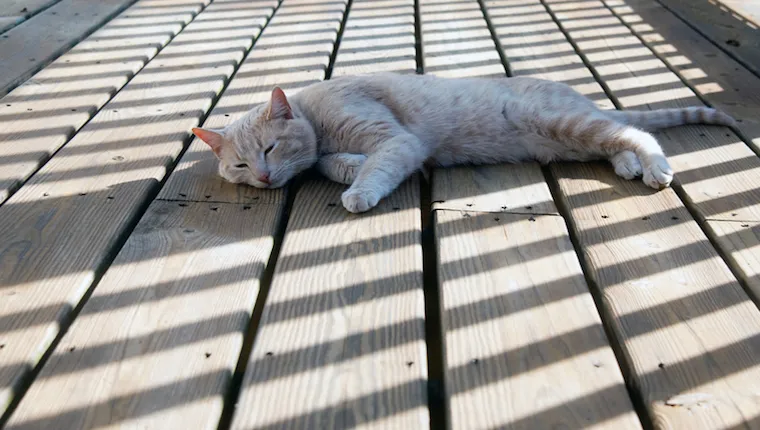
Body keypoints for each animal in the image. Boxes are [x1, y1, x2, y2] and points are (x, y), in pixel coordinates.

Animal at [190, 72, 736, 213]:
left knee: (637, 133)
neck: (315, 116)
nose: (263, 178)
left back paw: (654, 167)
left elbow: (375, 167)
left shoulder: (398, 142)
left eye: (269, 150)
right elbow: (333, 163)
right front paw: (344, 166)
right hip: (572, 139)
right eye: (239, 166)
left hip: (567, 123)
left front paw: (358, 189)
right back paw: (628, 166)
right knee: (616, 142)